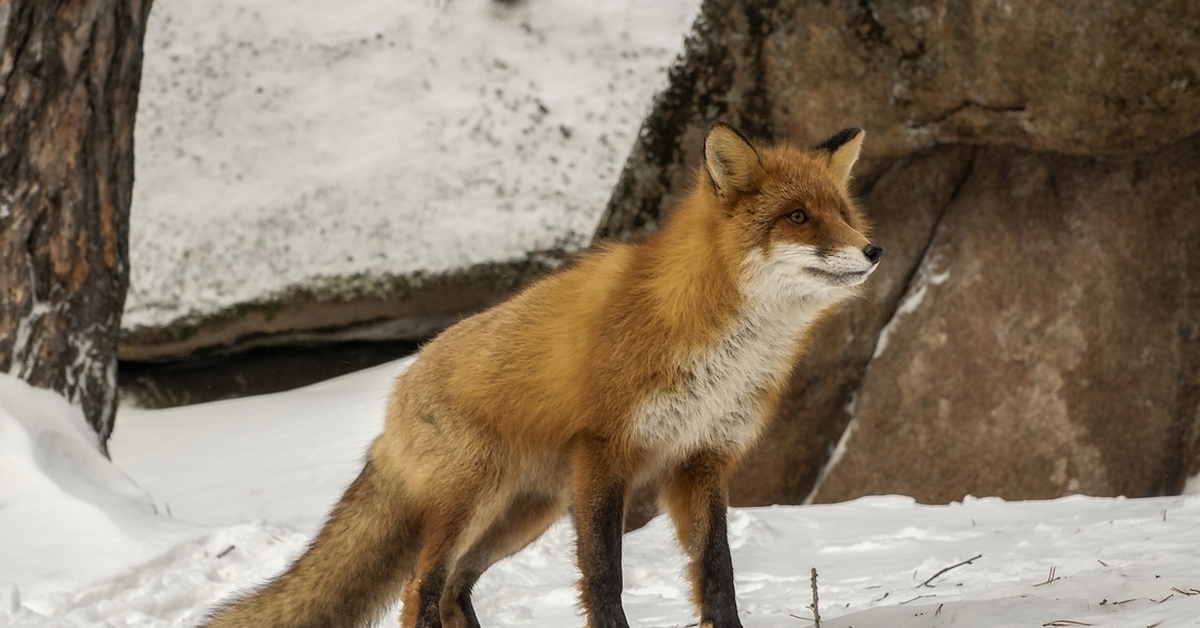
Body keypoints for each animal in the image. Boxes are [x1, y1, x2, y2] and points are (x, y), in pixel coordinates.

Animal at [201, 124, 883, 628]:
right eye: (797, 216)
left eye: (843, 213)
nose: (873, 251)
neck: (716, 339)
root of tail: (393, 400)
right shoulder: (605, 451)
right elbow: (605, 575)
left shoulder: (701, 459)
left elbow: (718, 574)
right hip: (474, 499)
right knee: (421, 587)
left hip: (525, 513)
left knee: (453, 589)